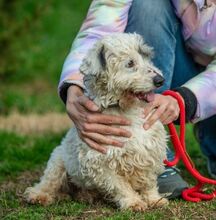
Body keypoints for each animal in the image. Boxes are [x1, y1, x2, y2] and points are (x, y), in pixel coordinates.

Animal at [24, 33, 169, 211]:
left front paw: (154, 199)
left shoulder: (150, 151)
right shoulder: (100, 162)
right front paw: (133, 202)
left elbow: (148, 181)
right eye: (130, 63)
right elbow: (119, 186)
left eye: (147, 57)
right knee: (48, 183)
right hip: (57, 163)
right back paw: (39, 196)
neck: (127, 110)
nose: (160, 80)